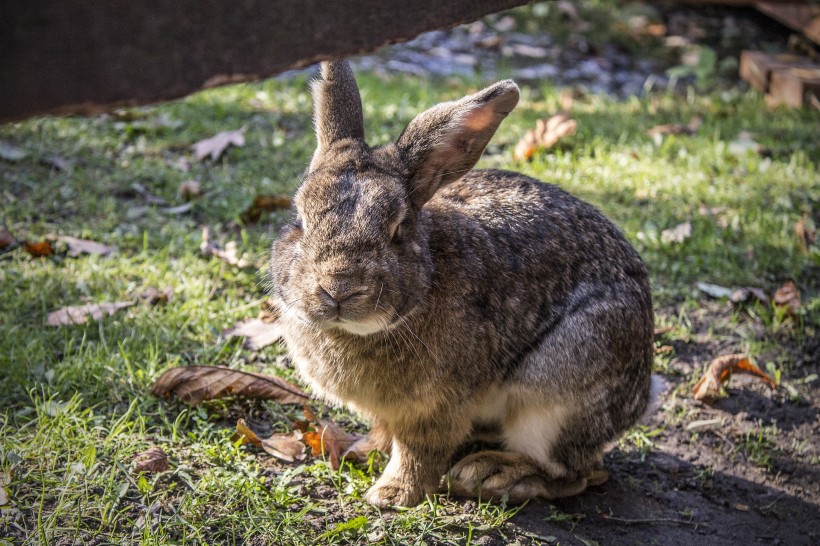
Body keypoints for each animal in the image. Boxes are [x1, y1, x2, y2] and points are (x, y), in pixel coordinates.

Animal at [270, 59, 652, 506]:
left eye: (398, 228)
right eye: (300, 219)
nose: (339, 288)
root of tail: (642, 395)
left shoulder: (436, 408)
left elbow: (417, 452)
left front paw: (392, 494)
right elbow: (385, 433)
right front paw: (360, 451)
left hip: (558, 391)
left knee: (578, 473)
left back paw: (491, 474)